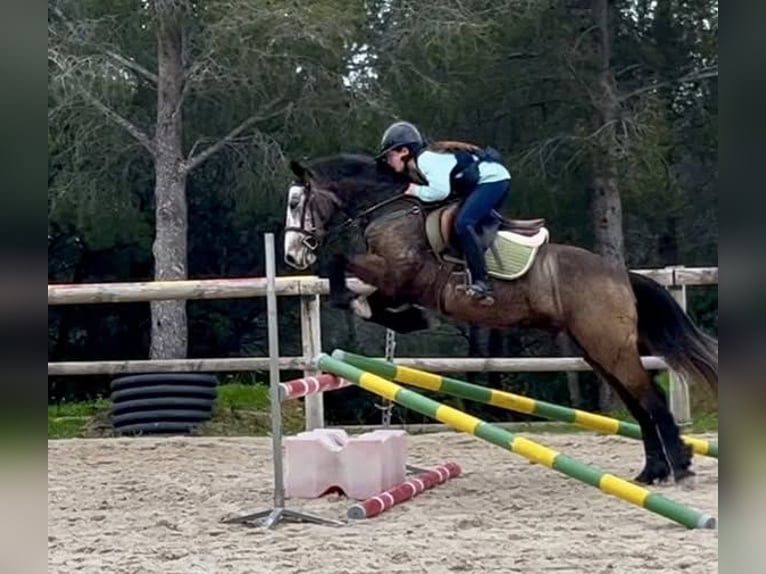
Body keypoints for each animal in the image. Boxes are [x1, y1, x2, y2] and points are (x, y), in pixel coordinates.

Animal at [282, 152, 718, 485]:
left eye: (295, 202)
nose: (292, 256)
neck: (391, 208)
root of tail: (621, 274)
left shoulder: (399, 273)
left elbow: (341, 265)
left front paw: (364, 304)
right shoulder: (394, 282)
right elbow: (373, 301)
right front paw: (402, 318)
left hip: (609, 347)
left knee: (652, 400)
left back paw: (679, 468)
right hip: (598, 350)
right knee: (640, 405)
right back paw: (652, 472)